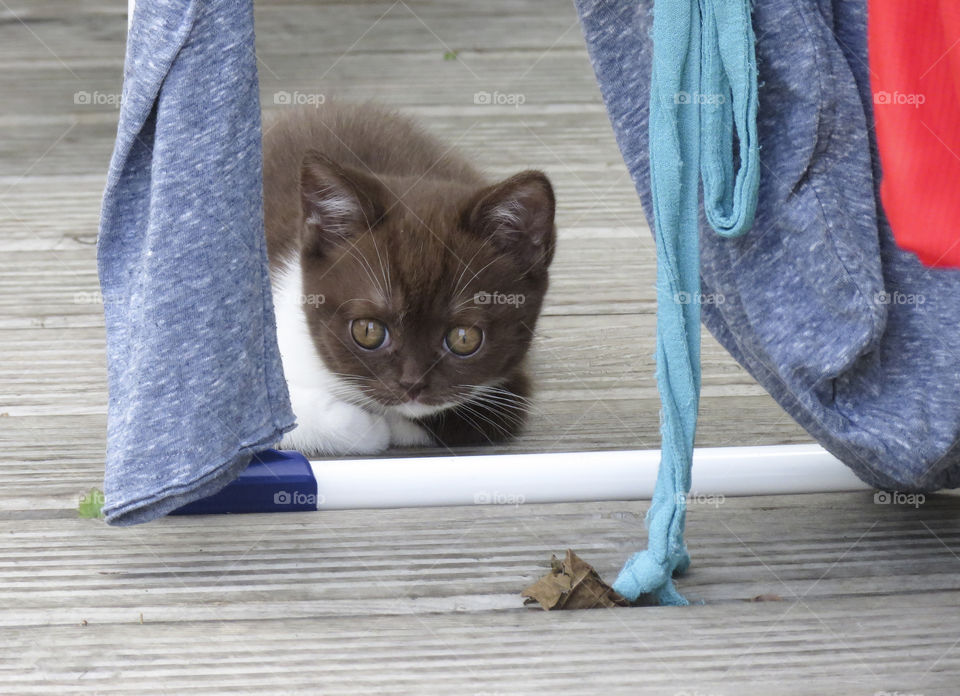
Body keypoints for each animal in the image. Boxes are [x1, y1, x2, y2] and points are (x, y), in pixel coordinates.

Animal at [266, 100, 560, 454]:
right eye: (367, 331)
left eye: (464, 338)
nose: (412, 384)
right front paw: (367, 423)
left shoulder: (511, 383)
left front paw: (382, 423)